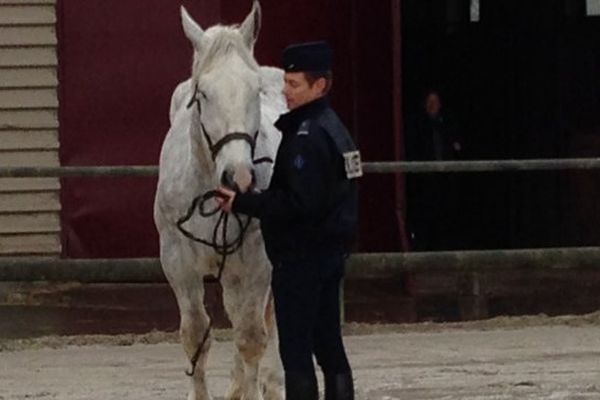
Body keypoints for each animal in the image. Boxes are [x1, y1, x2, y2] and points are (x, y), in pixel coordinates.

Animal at [155, 1, 286, 398]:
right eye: (202, 94)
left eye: (255, 91)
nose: (239, 177)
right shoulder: (177, 261)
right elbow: (196, 335)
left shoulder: (258, 262)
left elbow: (251, 338)